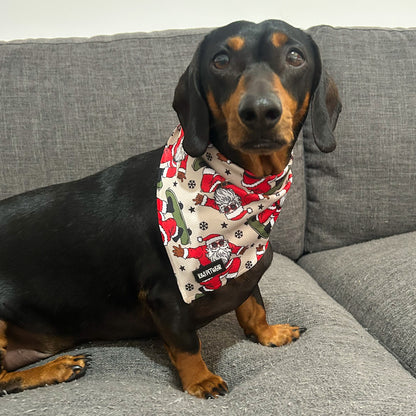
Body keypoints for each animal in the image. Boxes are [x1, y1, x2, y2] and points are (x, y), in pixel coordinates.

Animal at [0, 20, 342, 400]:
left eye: (295, 56)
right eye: (220, 60)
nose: (259, 112)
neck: (241, 190)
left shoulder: (246, 266)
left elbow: (253, 307)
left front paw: (269, 334)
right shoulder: (166, 296)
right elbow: (187, 343)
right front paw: (200, 381)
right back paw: (58, 368)